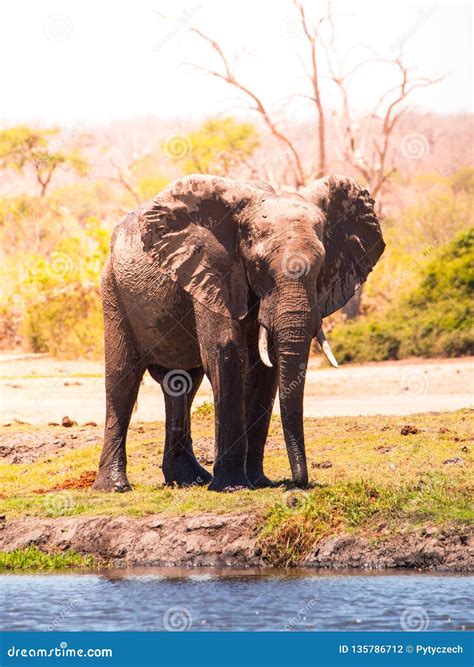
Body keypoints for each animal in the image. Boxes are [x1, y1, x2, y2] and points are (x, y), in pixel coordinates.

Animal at [92, 175, 386, 494]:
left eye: (321, 266)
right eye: (258, 266)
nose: (298, 483)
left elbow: (265, 370)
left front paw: (259, 482)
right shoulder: (212, 269)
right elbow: (227, 353)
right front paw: (233, 486)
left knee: (182, 384)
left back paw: (188, 479)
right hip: (113, 290)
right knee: (123, 379)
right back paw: (114, 487)